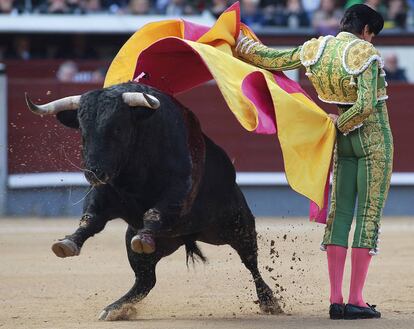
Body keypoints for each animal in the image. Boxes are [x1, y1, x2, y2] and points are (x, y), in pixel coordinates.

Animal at [25, 82, 282, 320]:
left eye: (117, 128)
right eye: (83, 131)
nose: (93, 172)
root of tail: (187, 237)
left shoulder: (177, 192)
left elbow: (154, 212)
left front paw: (144, 236)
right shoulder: (103, 194)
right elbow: (90, 219)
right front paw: (67, 243)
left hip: (237, 226)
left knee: (251, 263)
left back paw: (269, 302)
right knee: (145, 281)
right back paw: (114, 309)